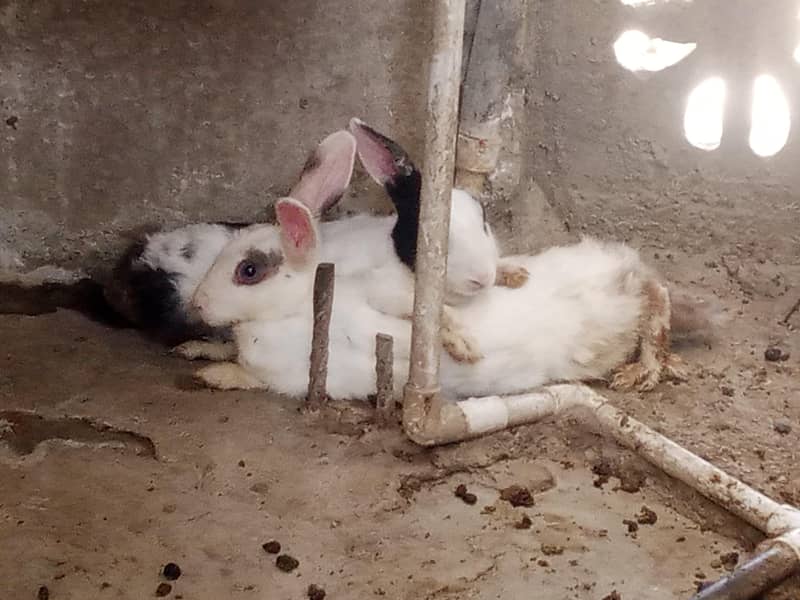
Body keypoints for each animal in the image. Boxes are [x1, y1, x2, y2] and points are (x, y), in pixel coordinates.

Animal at [189, 129, 696, 399]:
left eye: (248, 271)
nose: (197, 306)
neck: (297, 306)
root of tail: (629, 272)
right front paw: (198, 349)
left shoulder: (292, 376)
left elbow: (244, 376)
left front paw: (210, 373)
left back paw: (643, 372)